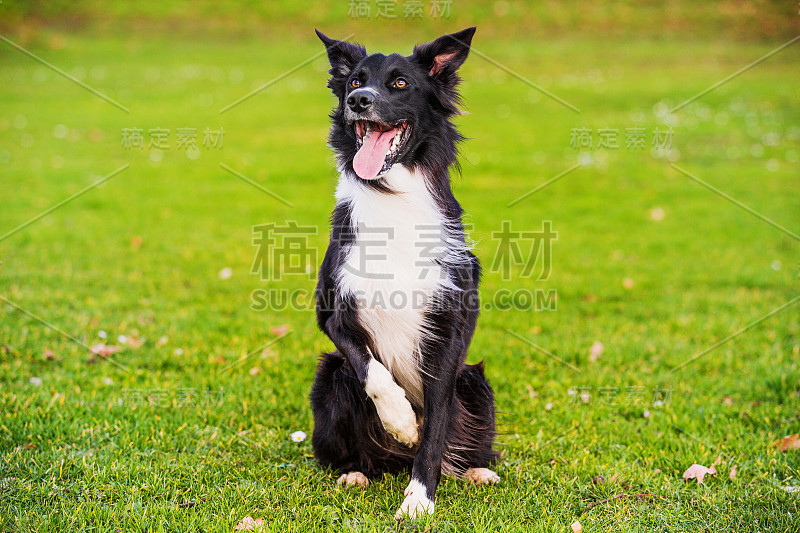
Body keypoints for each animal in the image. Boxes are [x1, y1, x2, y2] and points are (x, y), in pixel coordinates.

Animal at [310, 27, 496, 516]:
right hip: (330, 379)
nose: (359, 101)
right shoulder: (332, 312)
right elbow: (372, 369)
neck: (391, 192)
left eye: (399, 83)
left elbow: (435, 427)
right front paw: (400, 420)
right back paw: (356, 471)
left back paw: (477, 470)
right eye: (355, 81)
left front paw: (418, 500)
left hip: (476, 382)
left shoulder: (452, 328)